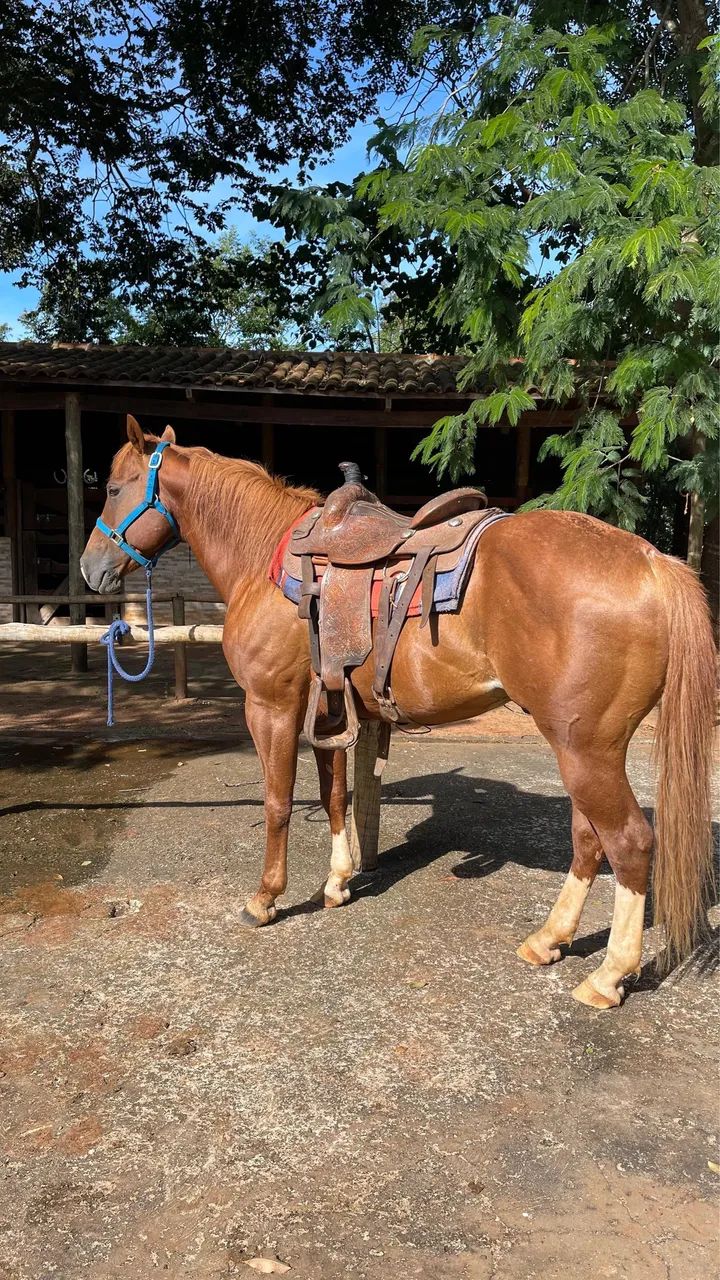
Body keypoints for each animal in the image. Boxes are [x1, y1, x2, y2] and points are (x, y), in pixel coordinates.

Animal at [80, 416, 716, 1010]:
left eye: (112, 488)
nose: (89, 569)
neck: (265, 559)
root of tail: (651, 561)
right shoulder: (329, 708)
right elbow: (335, 795)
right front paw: (337, 883)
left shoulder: (271, 707)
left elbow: (278, 802)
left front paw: (265, 899)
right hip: (583, 747)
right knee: (589, 839)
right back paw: (548, 940)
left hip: (586, 750)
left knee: (630, 843)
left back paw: (608, 976)